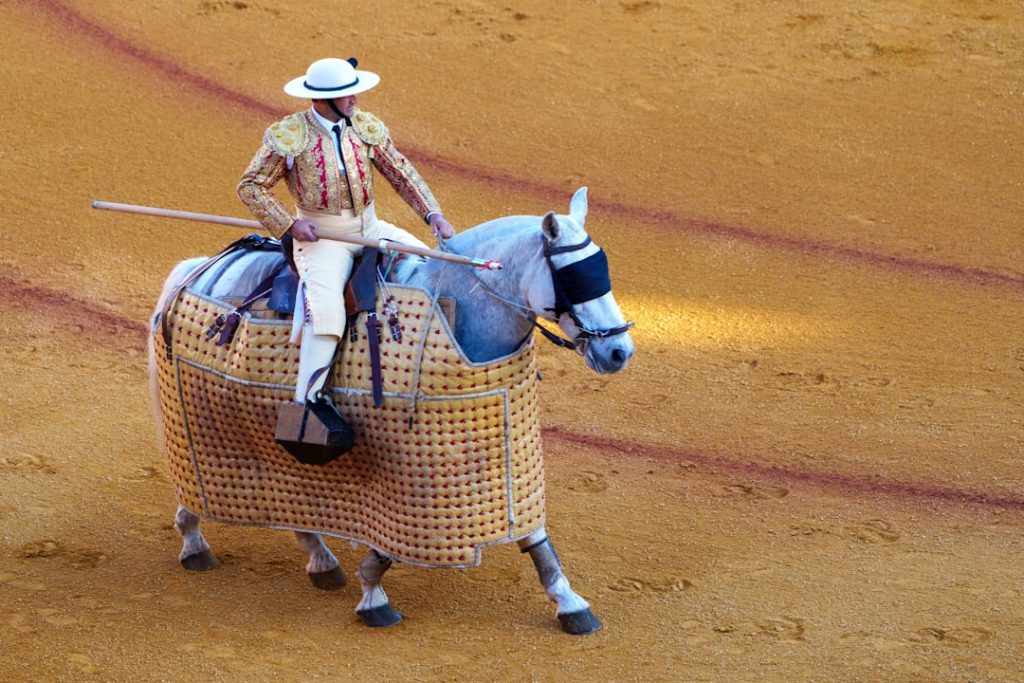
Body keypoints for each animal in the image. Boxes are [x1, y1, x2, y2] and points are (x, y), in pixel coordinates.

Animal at [149, 187, 634, 634]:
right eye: (575, 280)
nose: (619, 352)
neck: (459, 308)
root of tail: (195, 271)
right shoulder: (407, 474)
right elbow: (389, 545)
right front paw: (374, 597)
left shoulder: (506, 461)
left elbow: (537, 540)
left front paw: (571, 605)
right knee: (195, 482)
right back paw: (194, 544)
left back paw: (322, 562)